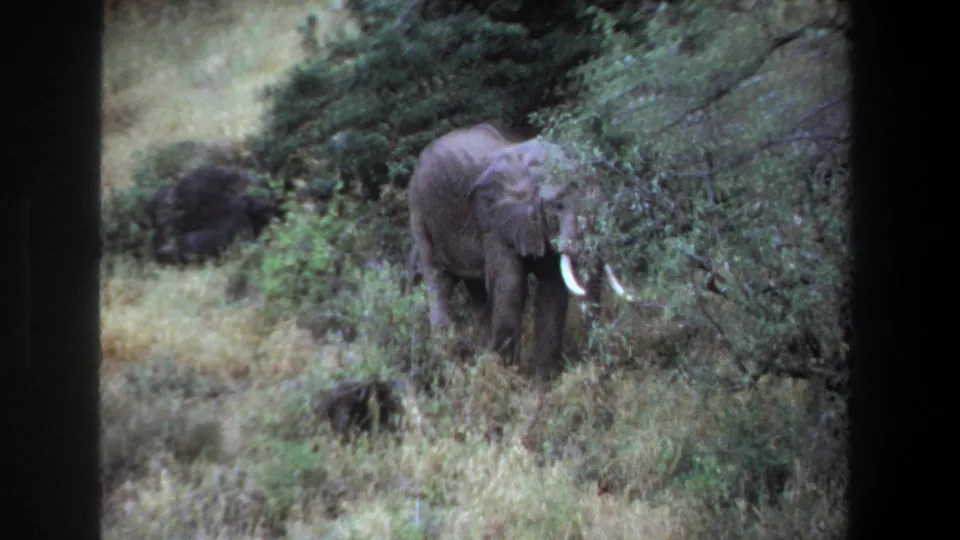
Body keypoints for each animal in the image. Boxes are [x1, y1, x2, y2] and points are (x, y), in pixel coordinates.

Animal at [408, 123, 634, 381]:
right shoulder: (494, 221)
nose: (599, 368)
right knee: (438, 282)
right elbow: (511, 285)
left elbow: (553, 289)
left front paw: (544, 382)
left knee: (476, 290)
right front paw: (506, 377)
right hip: (419, 213)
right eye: (558, 205)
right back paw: (446, 363)